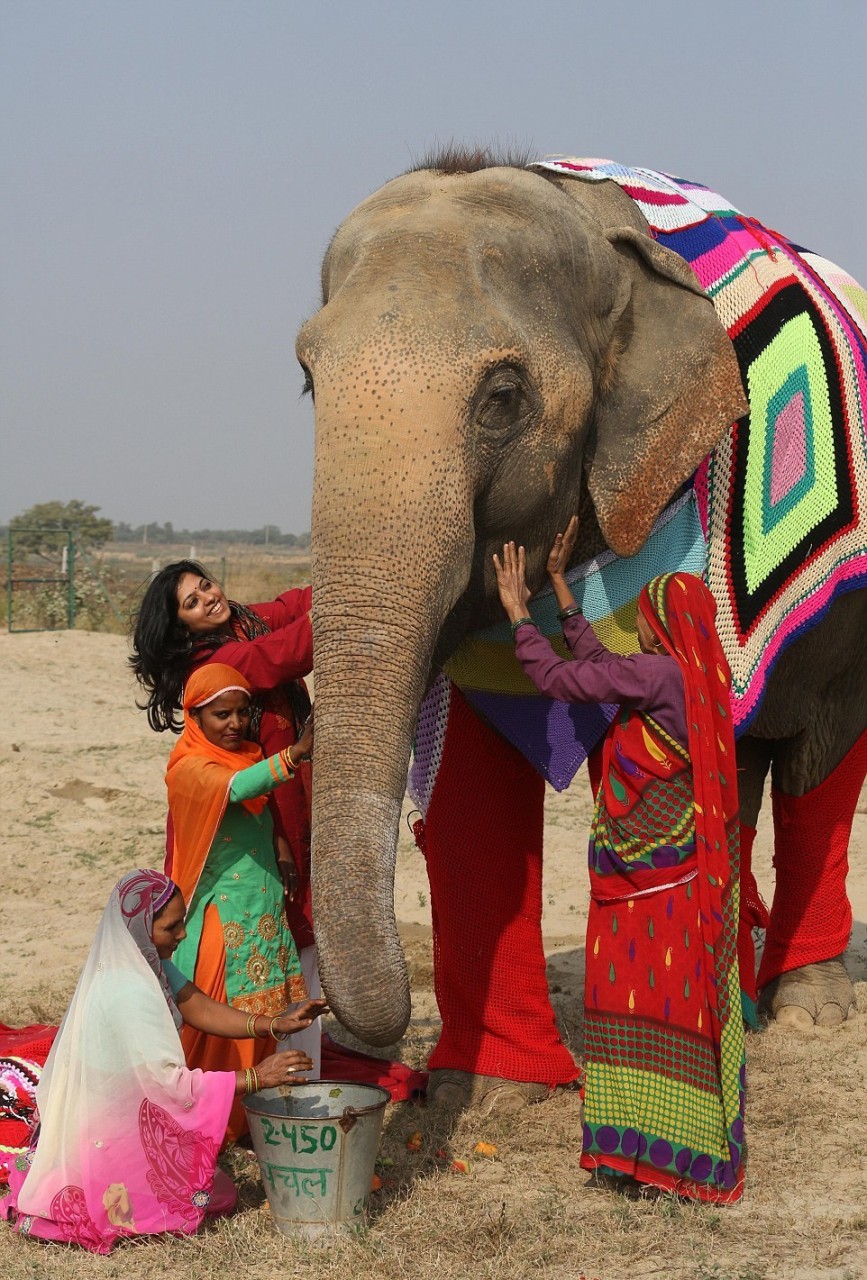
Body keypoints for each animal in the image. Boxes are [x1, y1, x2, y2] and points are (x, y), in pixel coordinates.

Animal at [295, 147, 865, 1100]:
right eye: (306, 380)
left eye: (501, 397)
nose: (377, 1050)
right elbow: (468, 780)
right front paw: (492, 1090)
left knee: (819, 756)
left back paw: (806, 1012)